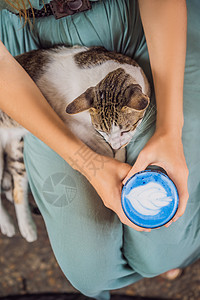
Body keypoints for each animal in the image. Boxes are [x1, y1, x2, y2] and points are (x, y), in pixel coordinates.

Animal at [0, 45, 150, 241]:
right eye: (102, 130)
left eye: (124, 130)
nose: (115, 145)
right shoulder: (69, 122)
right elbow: (99, 144)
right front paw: (111, 156)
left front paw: (119, 154)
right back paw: (8, 224)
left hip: (17, 145)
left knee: (17, 185)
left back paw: (26, 227)